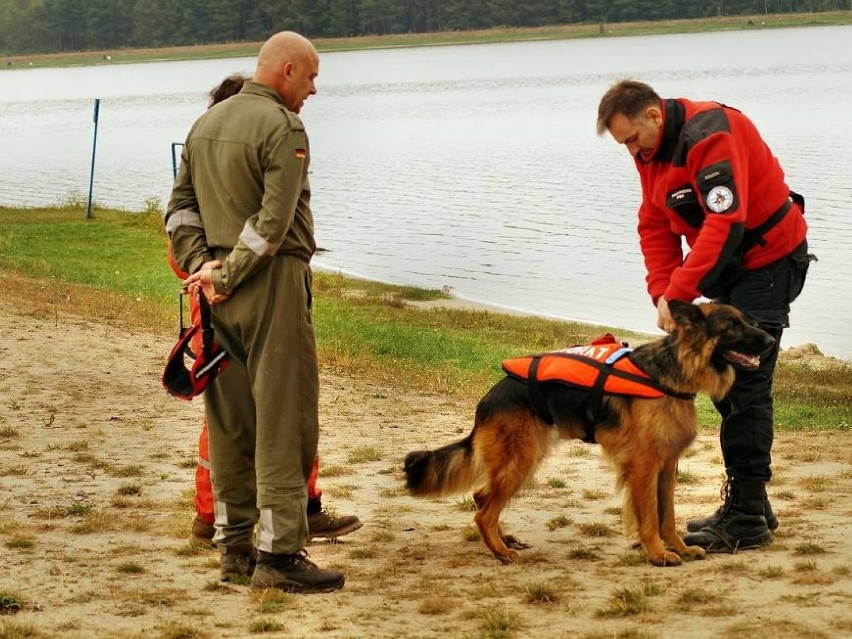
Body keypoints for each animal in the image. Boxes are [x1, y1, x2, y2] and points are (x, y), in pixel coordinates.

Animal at [402, 302, 776, 568]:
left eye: (746, 320)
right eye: (733, 325)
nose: (773, 340)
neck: (672, 372)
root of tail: (490, 398)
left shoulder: (667, 465)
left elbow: (667, 514)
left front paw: (679, 547)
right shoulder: (644, 465)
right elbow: (650, 516)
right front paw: (657, 554)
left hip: (523, 459)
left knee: (483, 498)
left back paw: (503, 539)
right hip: (521, 460)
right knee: (482, 510)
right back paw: (499, 552)